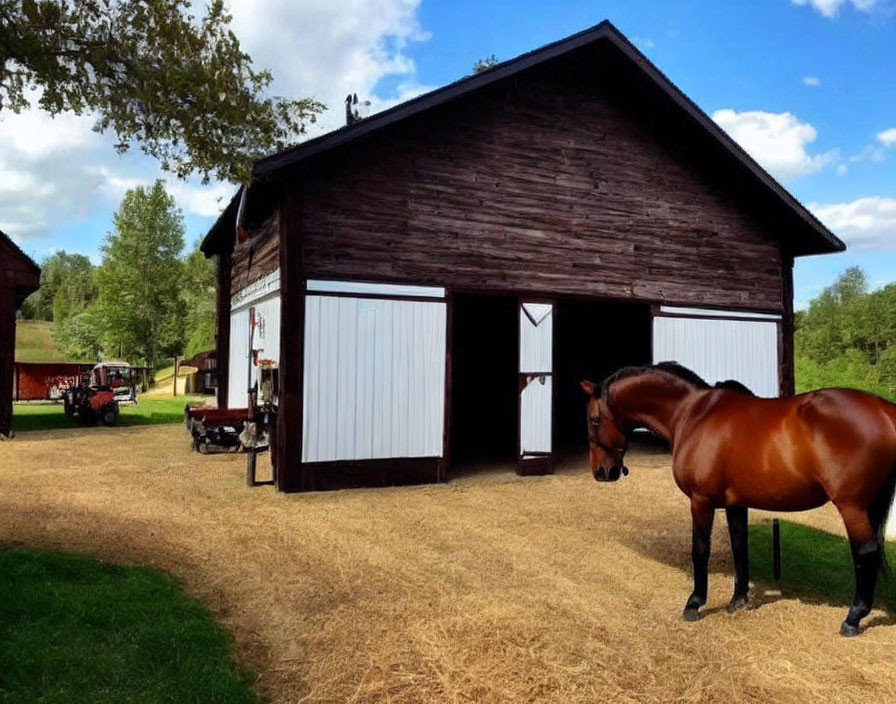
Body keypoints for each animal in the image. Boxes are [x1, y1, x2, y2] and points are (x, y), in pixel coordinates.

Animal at [580, 366, 896, 636]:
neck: (692, 413)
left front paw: (694, 603)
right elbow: (739, 547)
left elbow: (700, 550)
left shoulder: (701, 501)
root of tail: (884, 409)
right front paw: (738, 600)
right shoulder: (736, 503)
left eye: (594, 420)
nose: (602, 472)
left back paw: (853, 618)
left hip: (852, 506)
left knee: (865, 553)